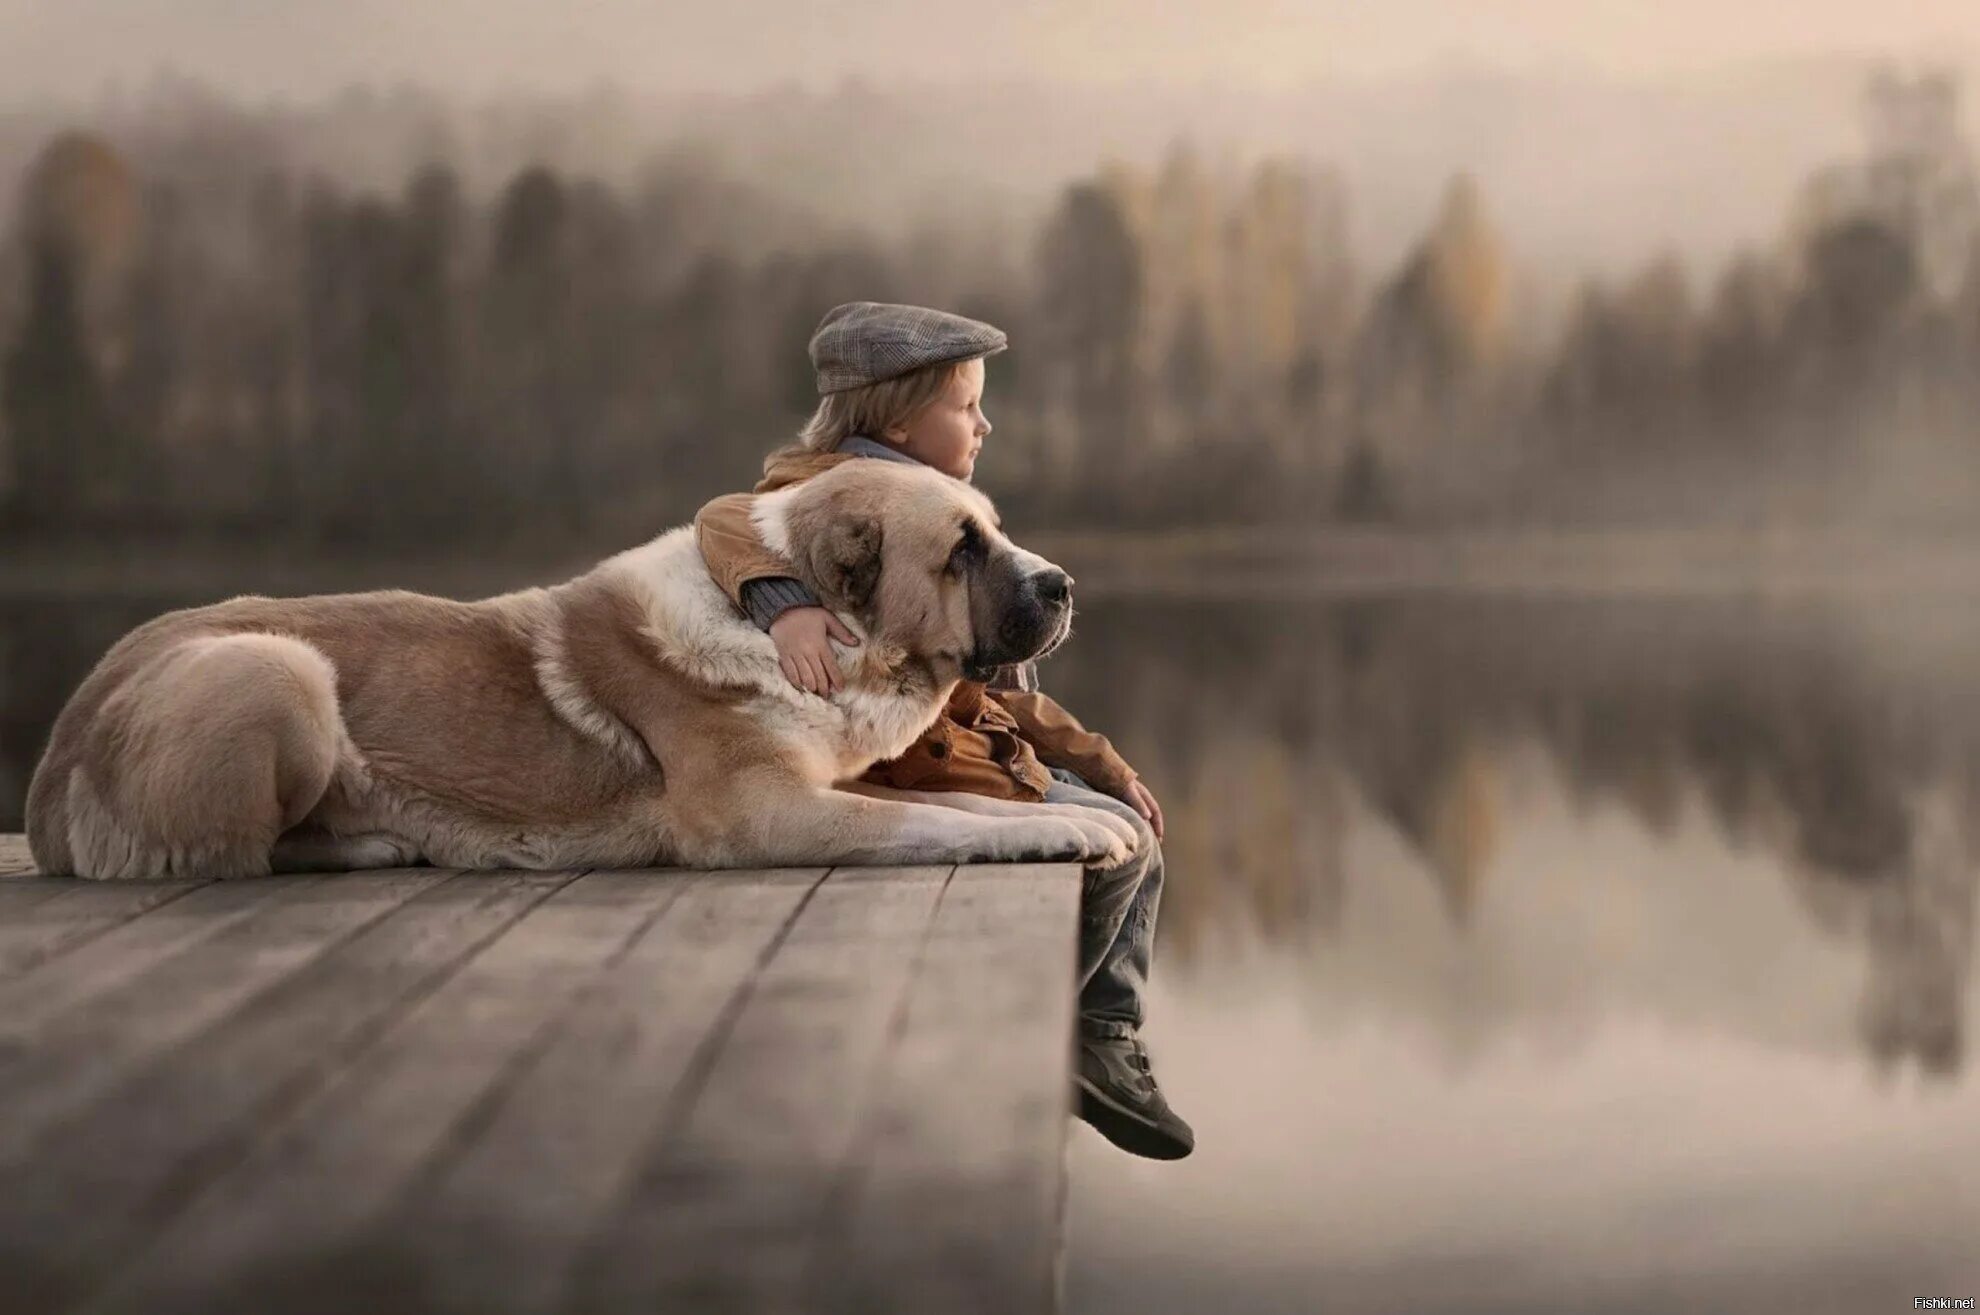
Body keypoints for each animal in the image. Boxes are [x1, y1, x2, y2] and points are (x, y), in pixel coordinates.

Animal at [19, 461, 1148, 883]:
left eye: (993, 528)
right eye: (961, 550)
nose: (1063, 584)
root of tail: (52, 758)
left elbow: (962, 803)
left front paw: (1088, 817)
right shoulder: (767, 813)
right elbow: (935, 821)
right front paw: (1070, 827)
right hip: (277, 670)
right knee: (229, 855)